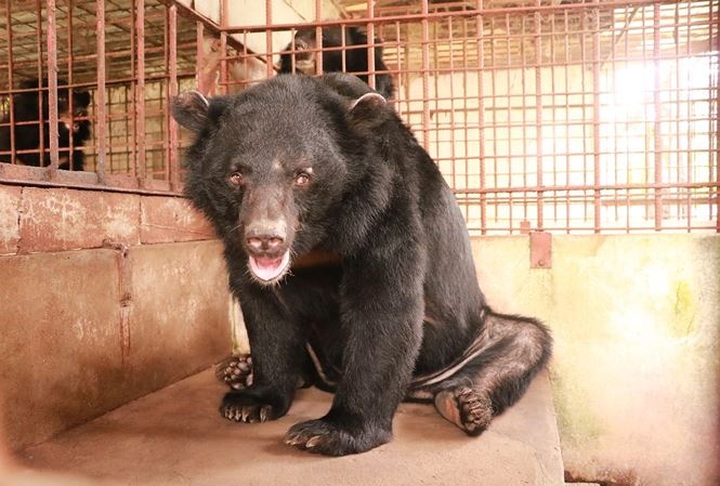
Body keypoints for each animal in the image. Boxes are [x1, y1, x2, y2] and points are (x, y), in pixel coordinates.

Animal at [171, 73, 552, 457]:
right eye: (236, 175)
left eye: (302, 175)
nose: (265, 240)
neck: (320, 235)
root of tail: (418, 388)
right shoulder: (235, 237)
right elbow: (264, 308)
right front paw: (250, 403)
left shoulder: (385, 205)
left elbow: (383, 303)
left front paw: (329, 432)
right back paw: (240, 370)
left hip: (471, 336)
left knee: (524, 344)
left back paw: (462, 404)